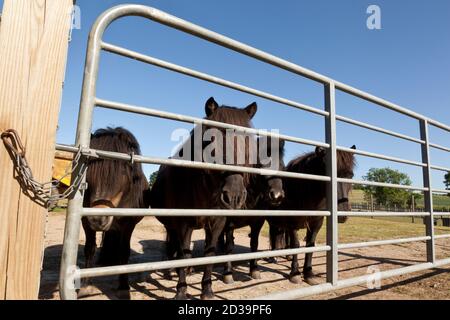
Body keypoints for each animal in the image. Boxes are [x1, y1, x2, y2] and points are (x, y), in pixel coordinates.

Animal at [80, 127, 150, 300]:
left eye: (123, 174)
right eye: (89, 172)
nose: (98, 219)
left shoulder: (128, 224)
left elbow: (124, 251)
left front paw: (123, 288)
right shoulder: (85, 221)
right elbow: (89, 248)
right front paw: (85, 286)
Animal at [150, 97, 258, 300]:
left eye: (248, 143)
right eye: (212, 141)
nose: (234, 197)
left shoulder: (216, 224)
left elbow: (209, 254)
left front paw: (207, 291)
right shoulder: (184, 224)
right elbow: (184, 255)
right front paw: (181, 291)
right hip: (171, 224)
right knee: (173, 244)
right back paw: (170, 270)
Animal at [268, 146, 356, 284]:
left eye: (350, 175)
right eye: (325, 173)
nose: (342, 213)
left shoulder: (316, 223)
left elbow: (310, 245)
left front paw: (309, 273)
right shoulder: (292, 223)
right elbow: (296, 245)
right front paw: (295, 273)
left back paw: (287, 255)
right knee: (273, 235)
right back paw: (273, 257)